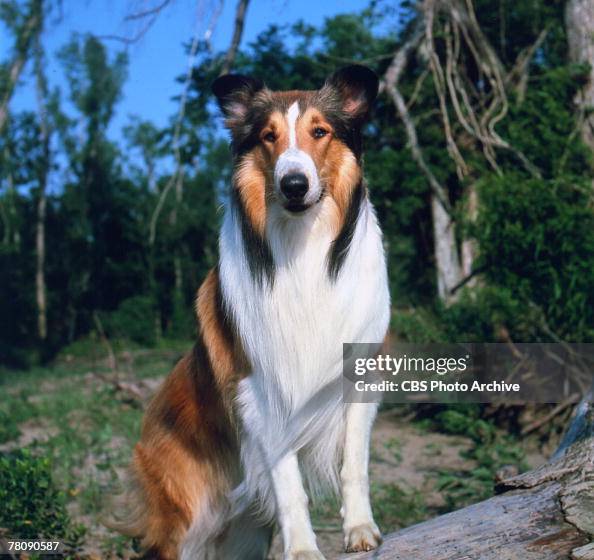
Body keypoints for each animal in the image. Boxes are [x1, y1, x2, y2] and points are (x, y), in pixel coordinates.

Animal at [118, 64, 390, 560]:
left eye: (319, 131)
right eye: (268, 136)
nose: (294, 185)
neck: (302, 249)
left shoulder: (359, 374)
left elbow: (355, 465)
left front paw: (361, 528)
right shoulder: (262, 390)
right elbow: (288, 483)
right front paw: (302, 549)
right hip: (185, 515)